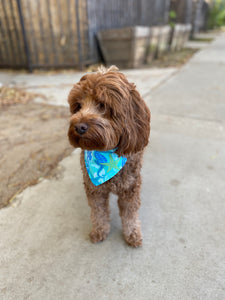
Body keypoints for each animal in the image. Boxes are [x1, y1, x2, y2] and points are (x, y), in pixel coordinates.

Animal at [67, 65, 150, 246]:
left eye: (102, 104)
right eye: (78, 106)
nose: (79, 127)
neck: (106, 153)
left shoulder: (130, 188)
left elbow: (130, 213)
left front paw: (132, 233)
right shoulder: (94, 189)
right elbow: (98, 212)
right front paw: (99, 230)